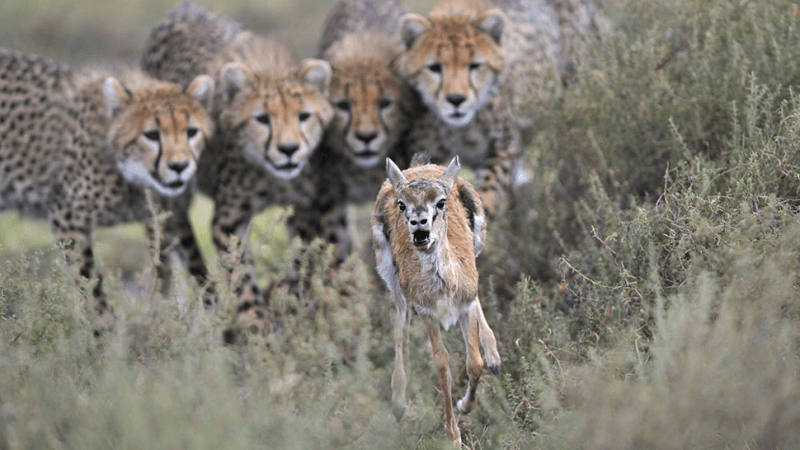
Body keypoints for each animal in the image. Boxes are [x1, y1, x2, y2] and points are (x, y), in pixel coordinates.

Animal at [0, 48, 216, 330]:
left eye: (191, 132)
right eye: (151, 135)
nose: (180, 166)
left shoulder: (169, 216)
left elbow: (190, 272)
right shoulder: (66, 216)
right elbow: (91, 286)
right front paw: (106, 335)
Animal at [141, 2, 334, 334]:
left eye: (304, 116)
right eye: (262, 119)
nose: (288, 150)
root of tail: (183, 8)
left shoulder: (306, 210)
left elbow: (302, 260)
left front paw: (291, 300)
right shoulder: (228, 221)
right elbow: (241, 277)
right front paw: (257, 329)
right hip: (169, 190)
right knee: (170, 246)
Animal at [394, 0, 608, 220]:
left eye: (475, 65)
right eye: (435, 67)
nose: (456, 99)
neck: (458, 128)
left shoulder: (504, 144)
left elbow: (489, 186)